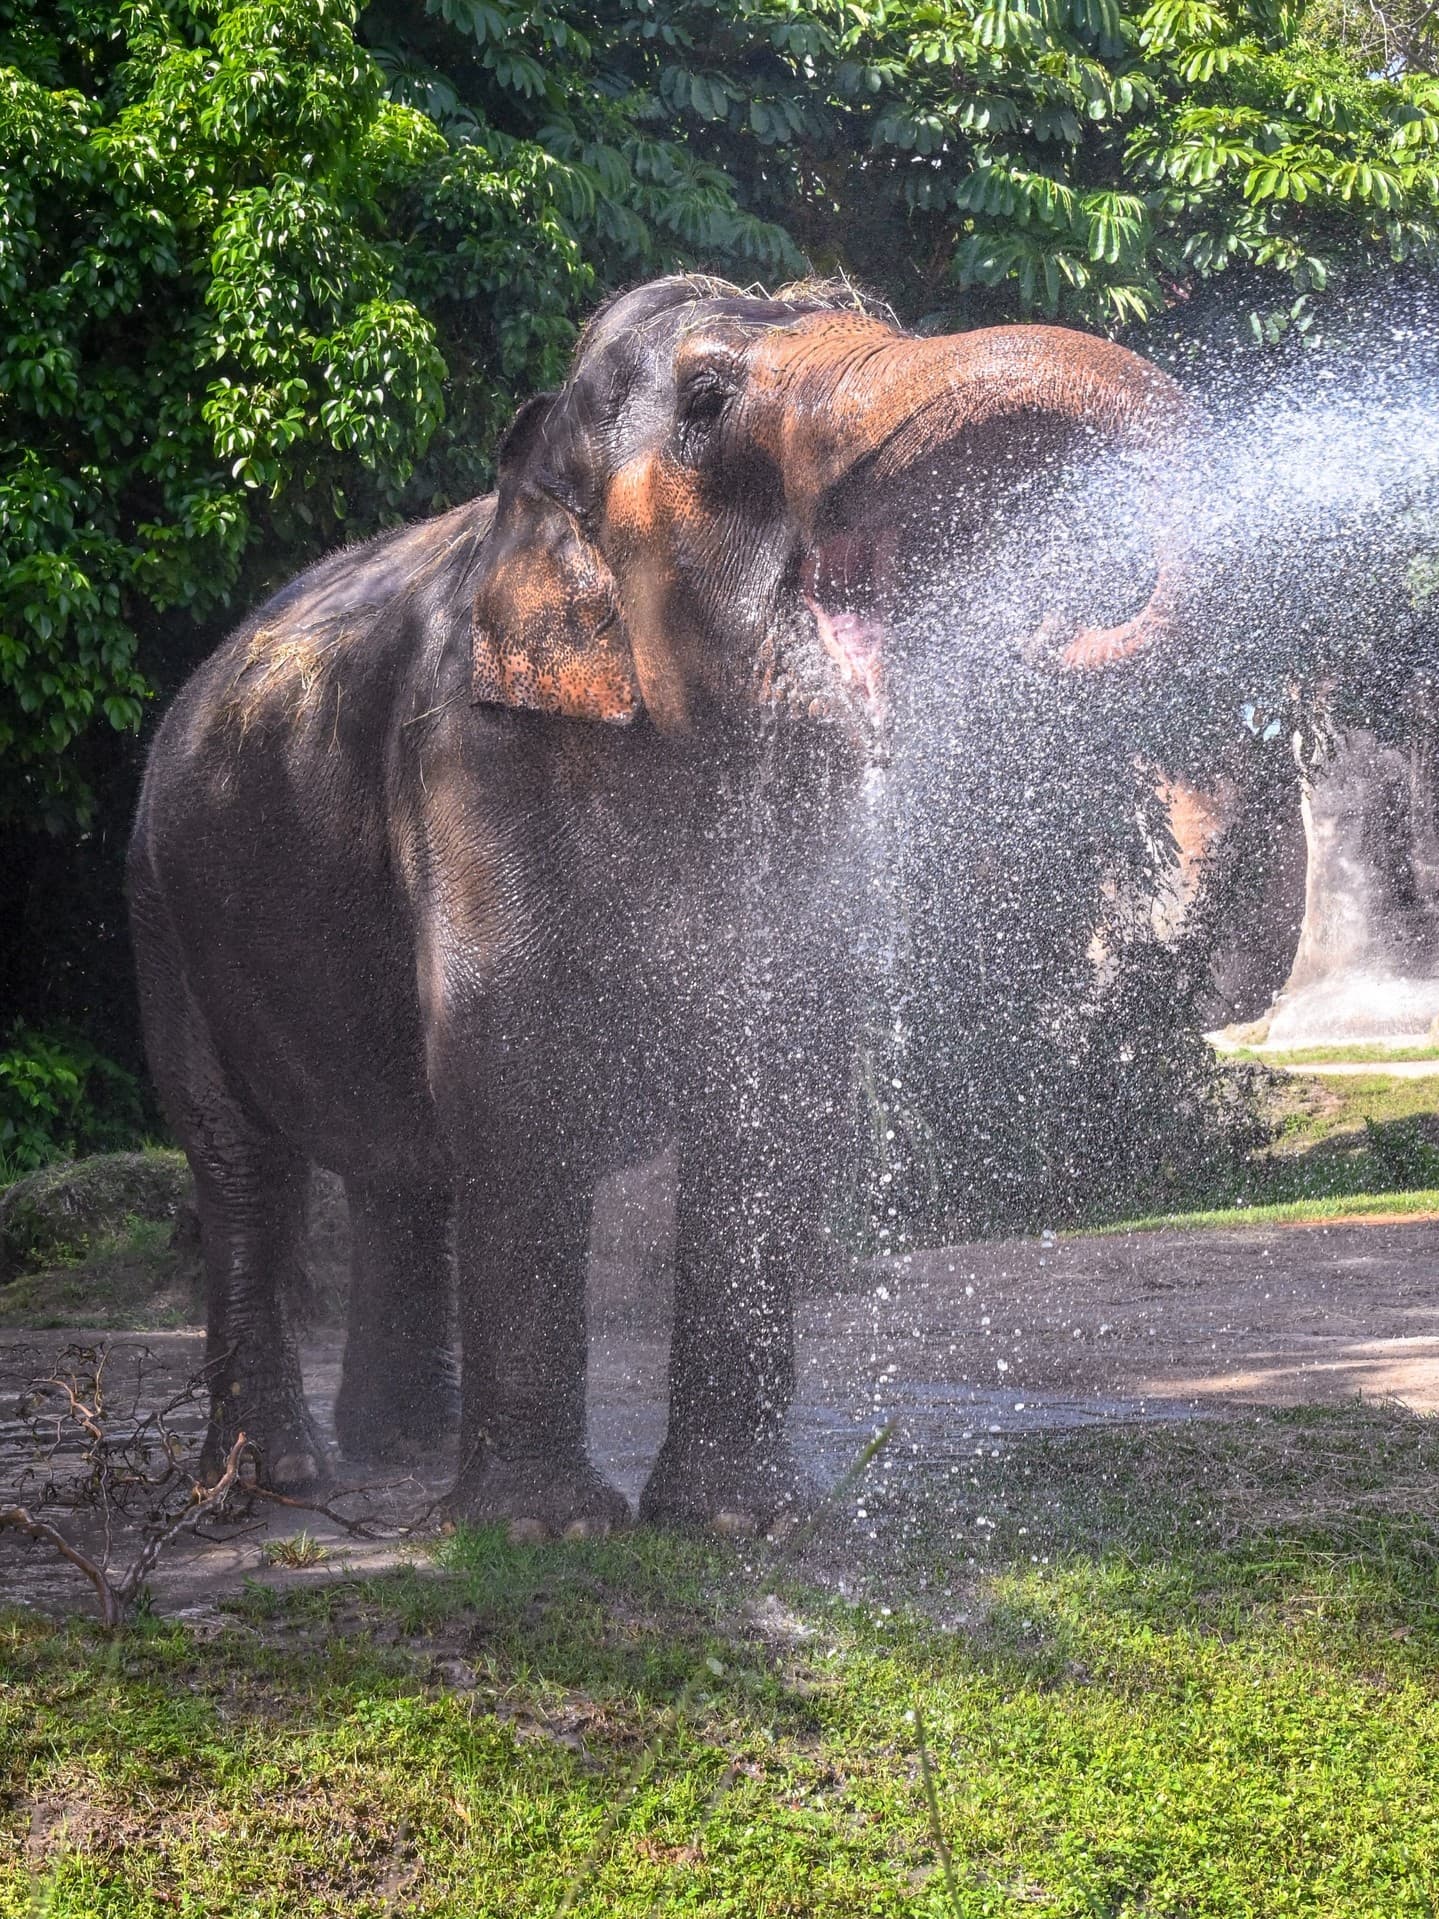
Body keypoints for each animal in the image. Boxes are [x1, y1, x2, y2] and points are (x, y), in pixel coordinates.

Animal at [127, 273, 1189, 1535]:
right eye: (707, 400)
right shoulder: (469, 762)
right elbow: (516, 1064)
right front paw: (544, 1529)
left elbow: (773, 1083)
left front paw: (744, 1522)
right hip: (164, 908)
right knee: (245, 1168)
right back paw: (274, 1484)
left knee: (401, 1168)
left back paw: (403, 1453)